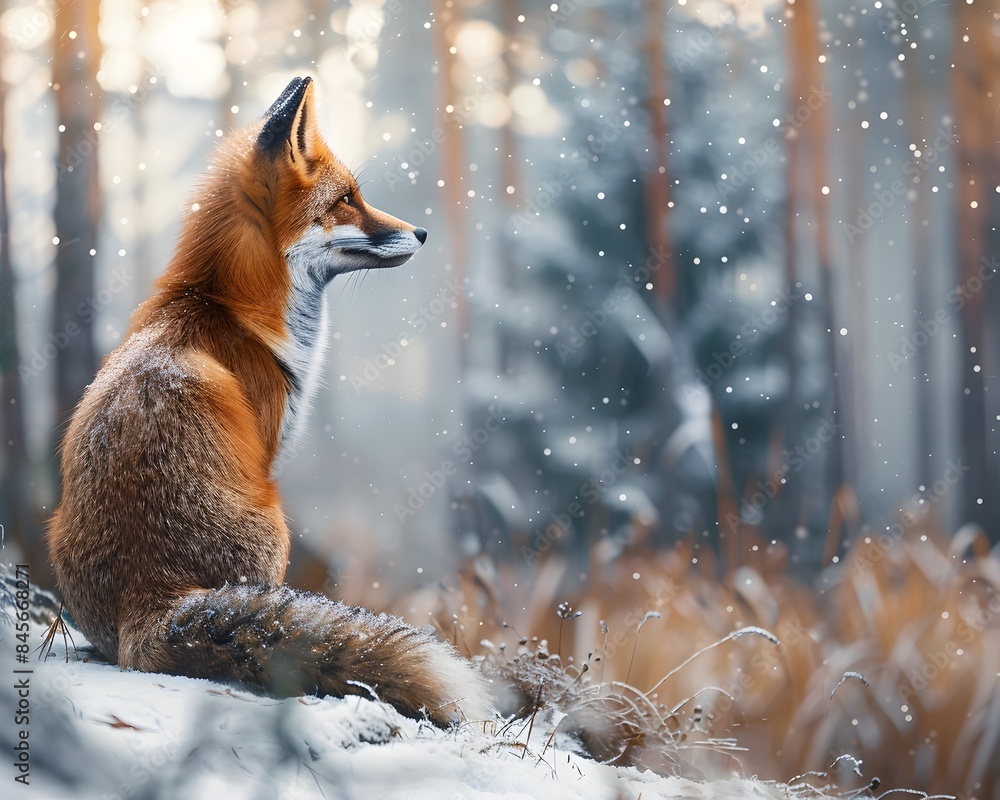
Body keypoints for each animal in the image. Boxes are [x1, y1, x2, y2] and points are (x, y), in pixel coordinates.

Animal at [46, 76, 492, 725]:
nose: (423, 233)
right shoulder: (269, 446)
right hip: (275, 522)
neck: (231, 311)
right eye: (347, 200)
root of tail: (144, 602)